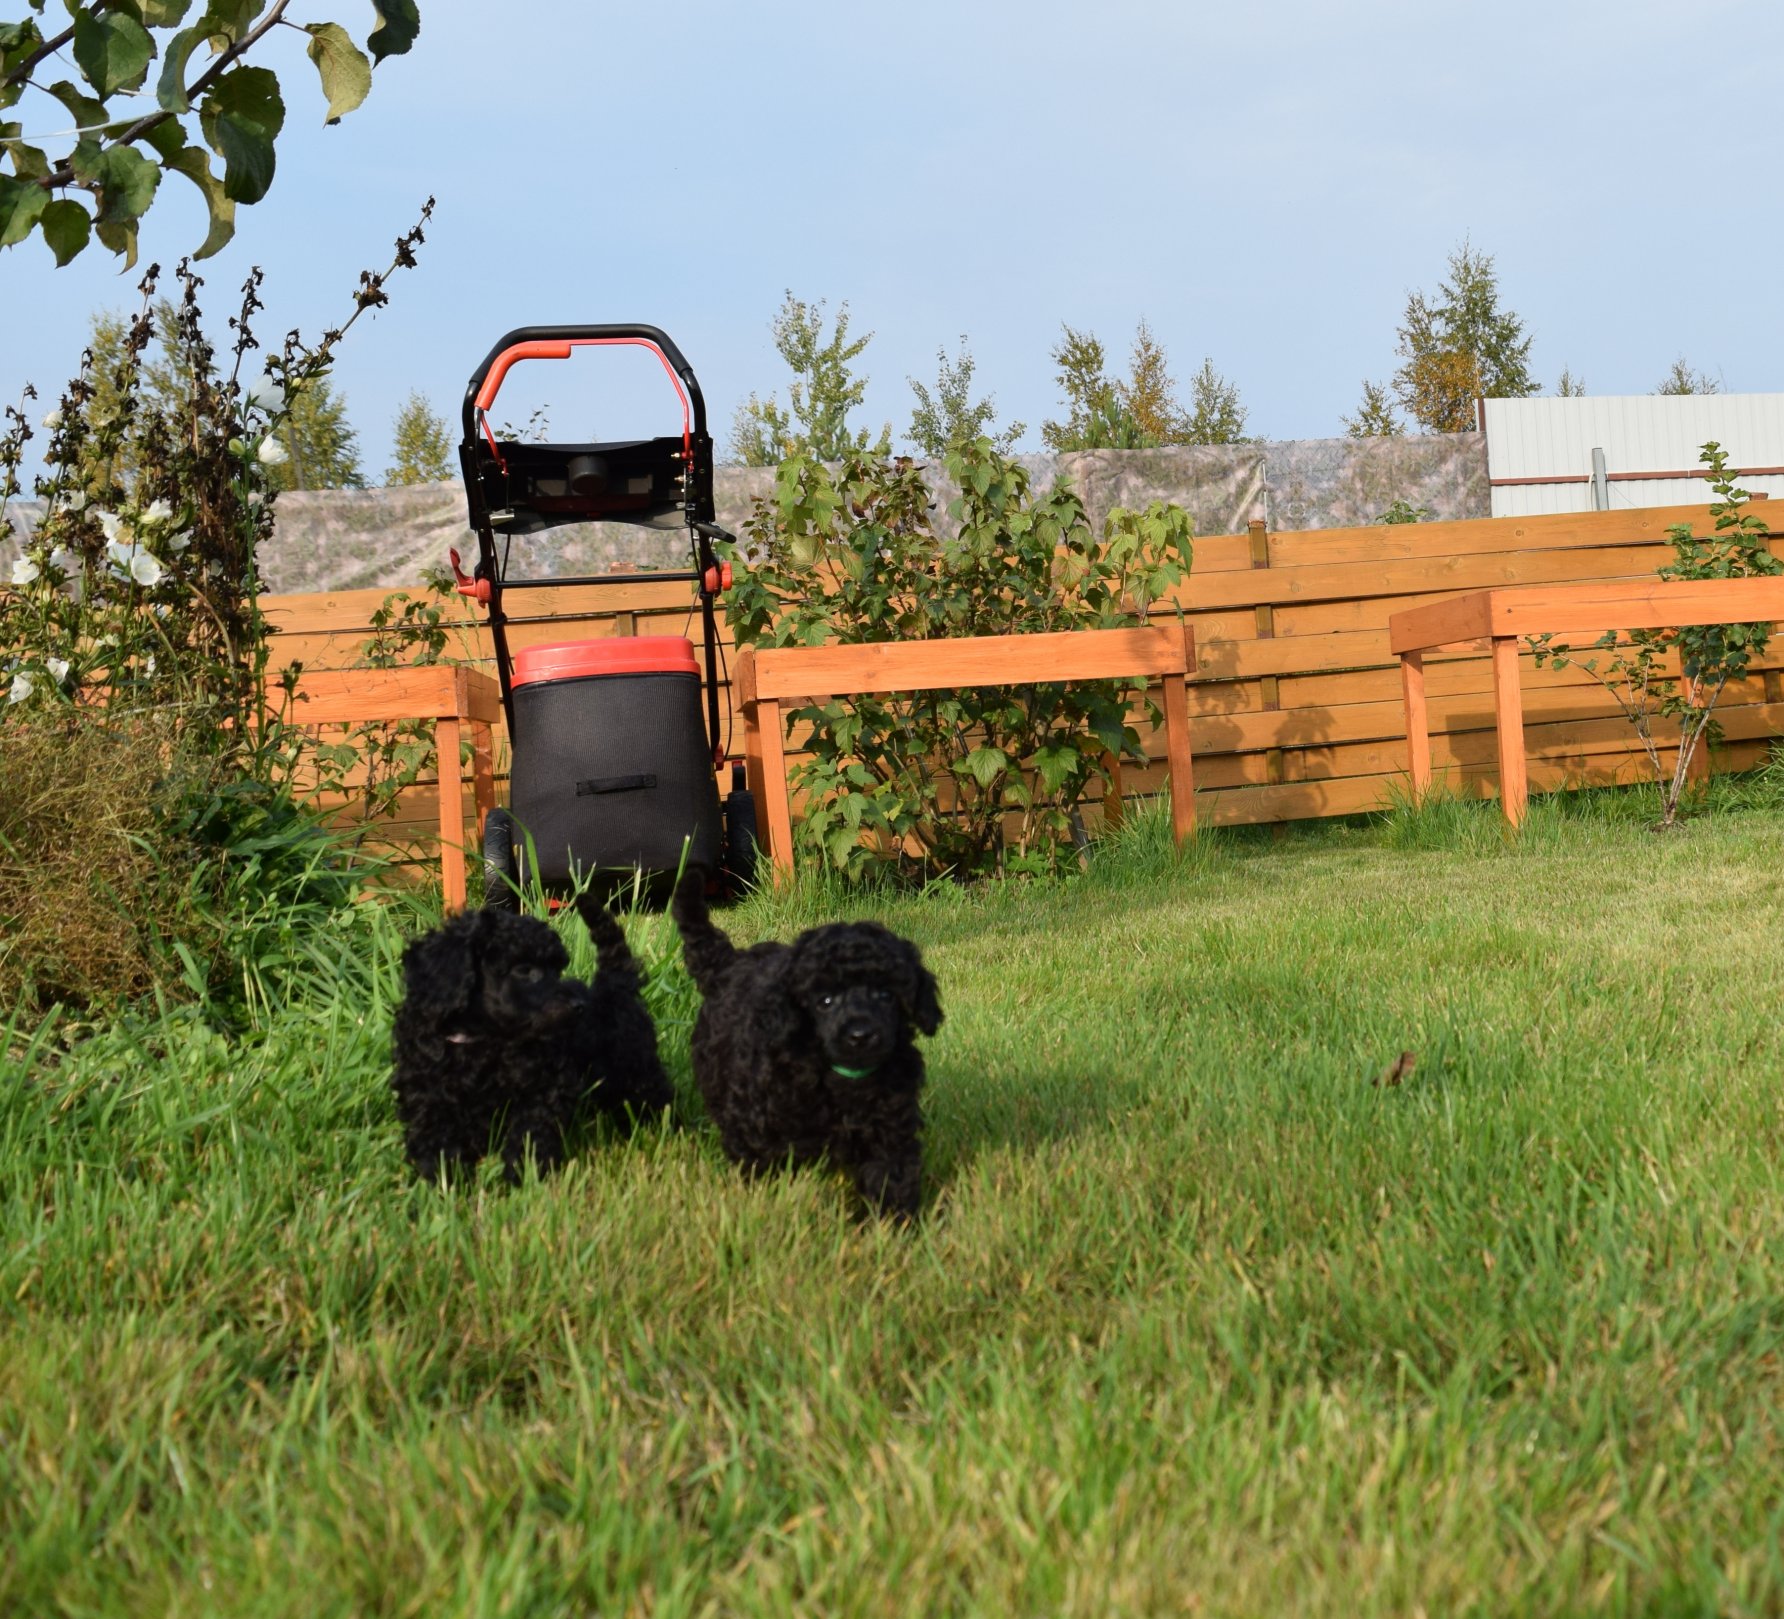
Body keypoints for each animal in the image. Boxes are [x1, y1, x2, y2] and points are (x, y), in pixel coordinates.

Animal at [390, 897, 671, 1182]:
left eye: (557, 969)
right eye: (524, 970)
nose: (578, 1006)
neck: (480, 1038)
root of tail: (613, 984)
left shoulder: (542, 1089)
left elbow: (530, 1134)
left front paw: (522, 1176)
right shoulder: (426, 1092)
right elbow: (433, 1134)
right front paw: (441, 1177)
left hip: (636, 1070)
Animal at [671, 872, 942, 1219]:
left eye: (886, 995)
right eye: (824, 1001)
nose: (860, 1035)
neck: (841, 1075)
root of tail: (728, 962)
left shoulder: (890, 1123)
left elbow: (891, 1173)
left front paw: (894, 1223)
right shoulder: (754, 1117)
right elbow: (757, 1160)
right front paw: (760, 1204)